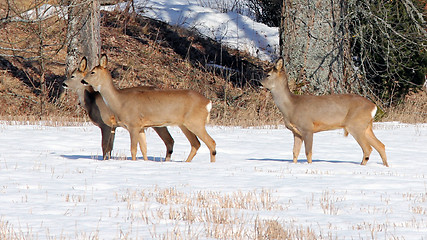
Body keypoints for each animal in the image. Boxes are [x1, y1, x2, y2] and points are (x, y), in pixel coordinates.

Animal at [81, 54, 217, 162]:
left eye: (92, 72)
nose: (83, 80)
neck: (120, 102)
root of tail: (208, 102)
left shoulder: (133, 124)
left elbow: (133, 150)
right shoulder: (141, 127)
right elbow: (143, 148)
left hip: (195, 122)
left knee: (211, 143)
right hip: (184, 124)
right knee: (196, 144)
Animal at [262, 58, 390, 167]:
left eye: (268, 75)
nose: (260, 83)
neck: (291, 107)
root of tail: (373, 106)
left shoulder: (307, 128)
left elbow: (308, 153)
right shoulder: (296, 132)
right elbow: (295, 152)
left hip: (355, 125)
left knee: (368, 148)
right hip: (366, 126)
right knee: (381, 145)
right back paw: (386, 166)